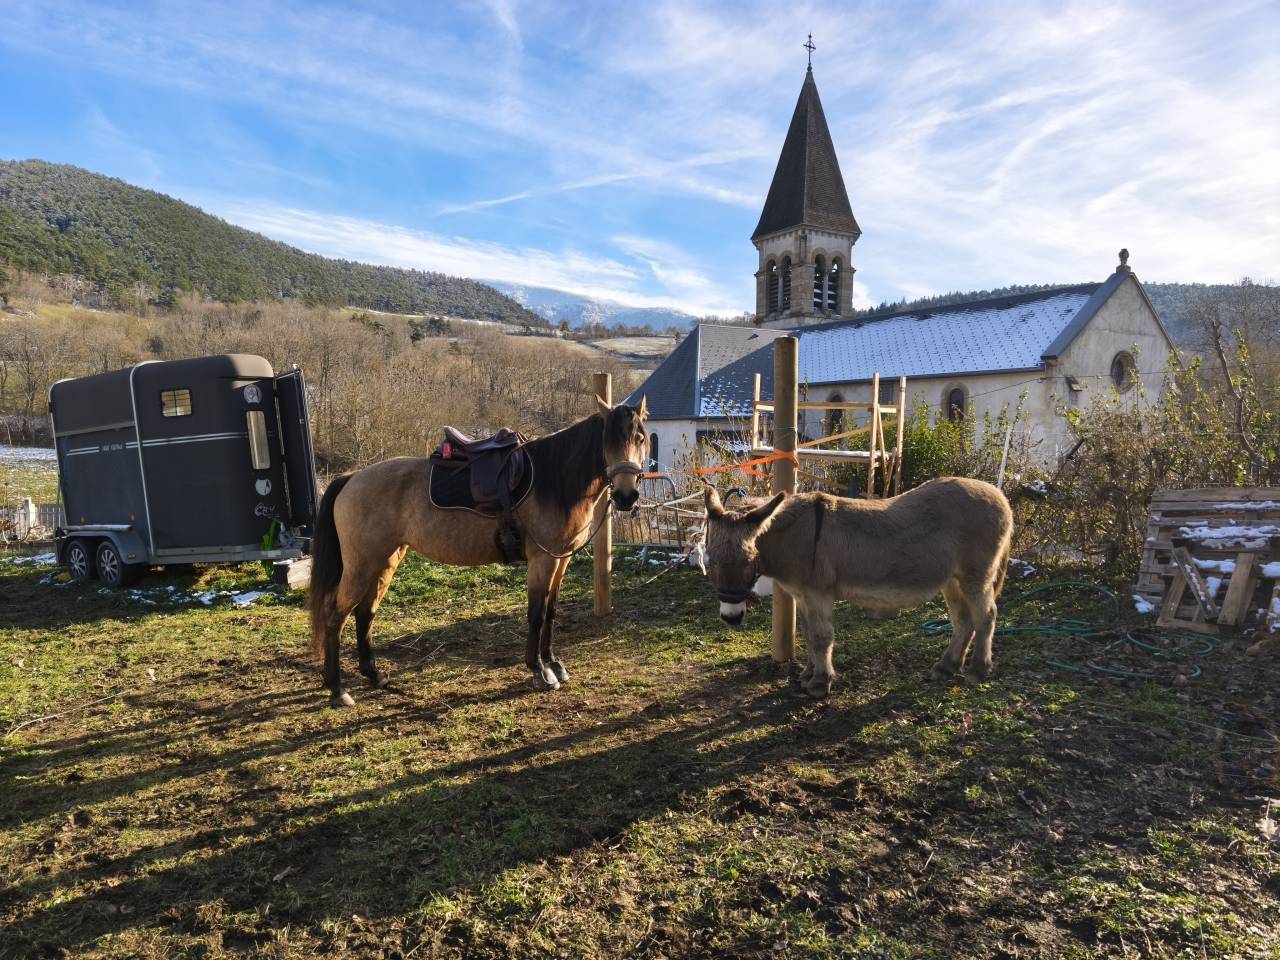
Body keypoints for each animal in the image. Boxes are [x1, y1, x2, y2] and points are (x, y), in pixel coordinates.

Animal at [308, 397, 649, 707]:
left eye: (640, 439)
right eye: (608, 440)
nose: (626, 495)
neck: (555, 480)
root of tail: (352, 478)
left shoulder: (560, 560)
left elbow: (551, 611)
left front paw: (554, 663)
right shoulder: (543, 560)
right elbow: (537, 614)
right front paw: (539, 671)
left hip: (385, 560)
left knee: (365, 613)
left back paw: (373, 674)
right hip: (361, 564)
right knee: (335, 615)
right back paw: (337, 689)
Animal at [700, 478, 1013, 697]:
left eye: (748, 560)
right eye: (710, 559)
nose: (731, 617)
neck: (795, 537)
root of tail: (1001, 497)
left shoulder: (818, 593)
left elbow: (822, 637)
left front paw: (820, 683)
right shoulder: (802, 595)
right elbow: (808, 634)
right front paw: (807, 675)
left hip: (976, 576)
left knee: (986, 617)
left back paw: (978, 670)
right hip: (952, 580)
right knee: (964, 620)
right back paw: (947, 667)